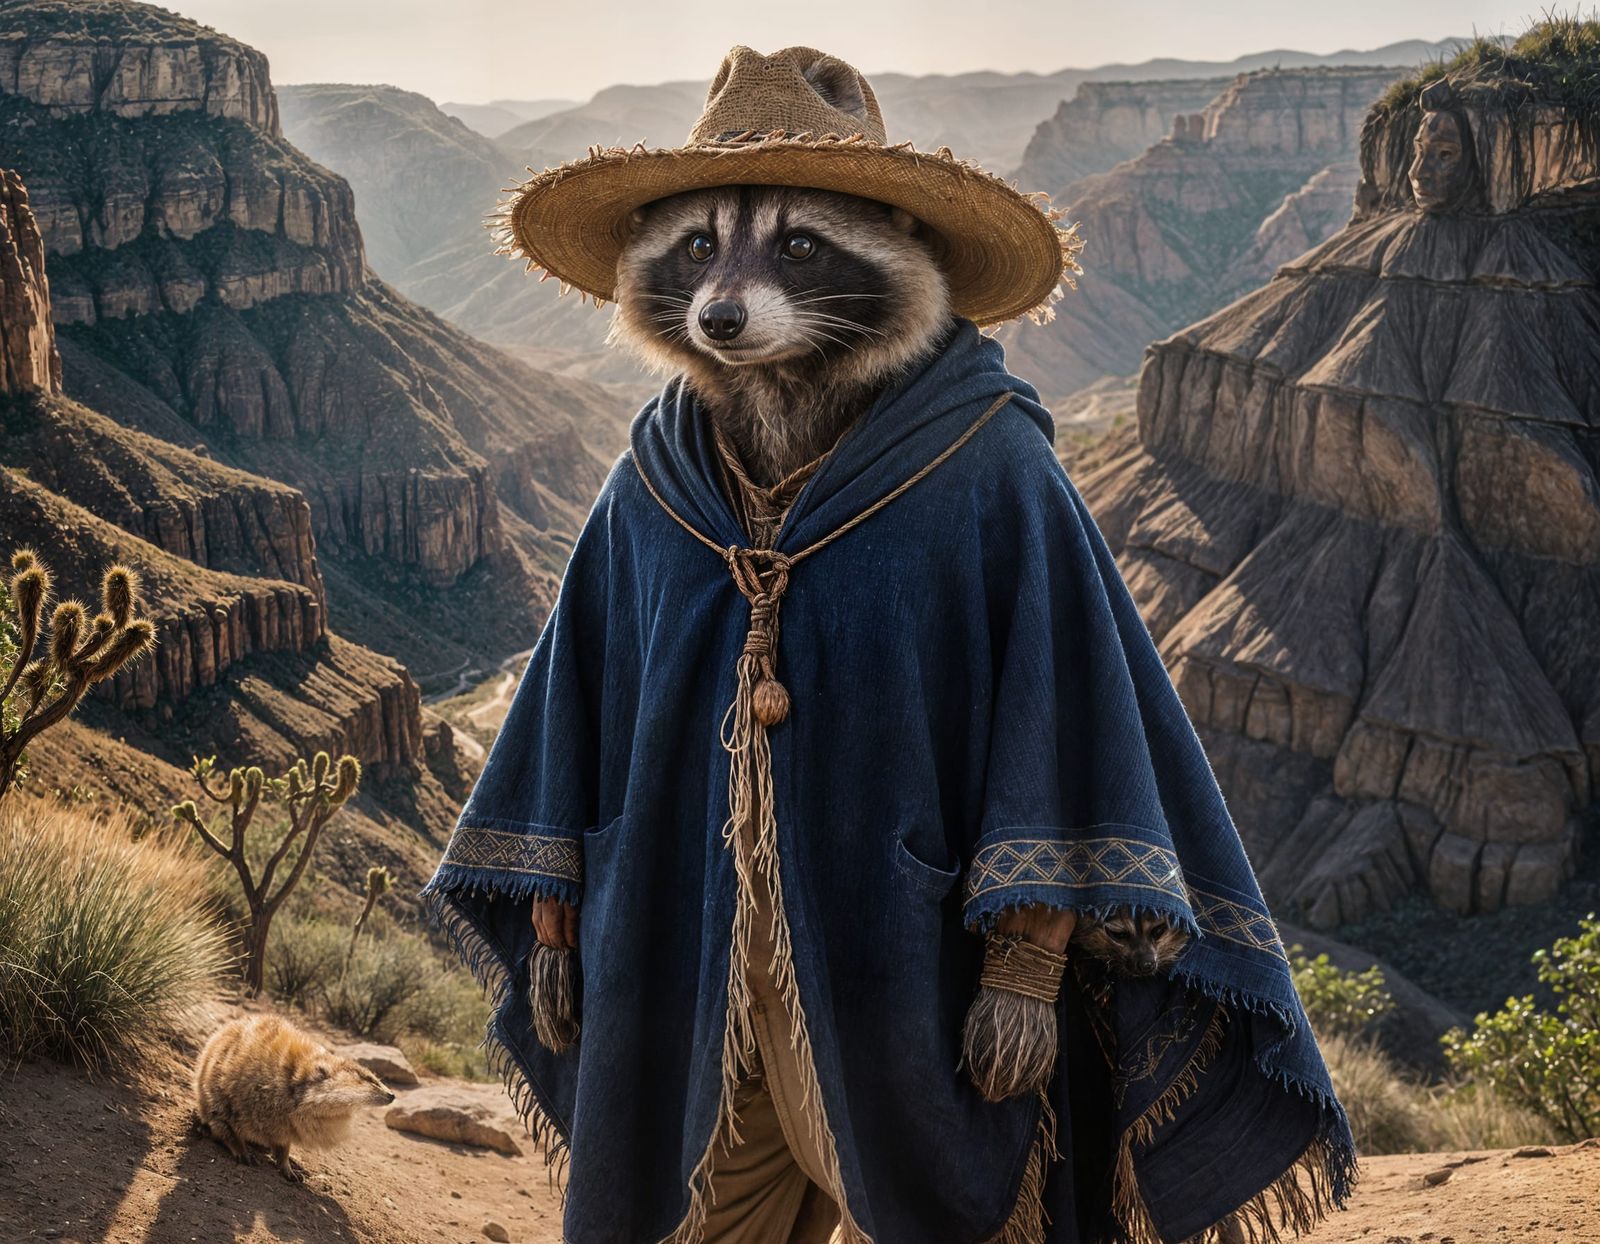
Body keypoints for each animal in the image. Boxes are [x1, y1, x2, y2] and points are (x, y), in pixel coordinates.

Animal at [193, 1015, 395, 1181]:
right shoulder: (226, 1096)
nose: (392, 1095)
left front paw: (289, 1169)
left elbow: (283, 1147)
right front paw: (242, 1151)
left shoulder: (284, 1127)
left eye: (374, 1077)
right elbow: (225, 1126)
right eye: (368, 1079)